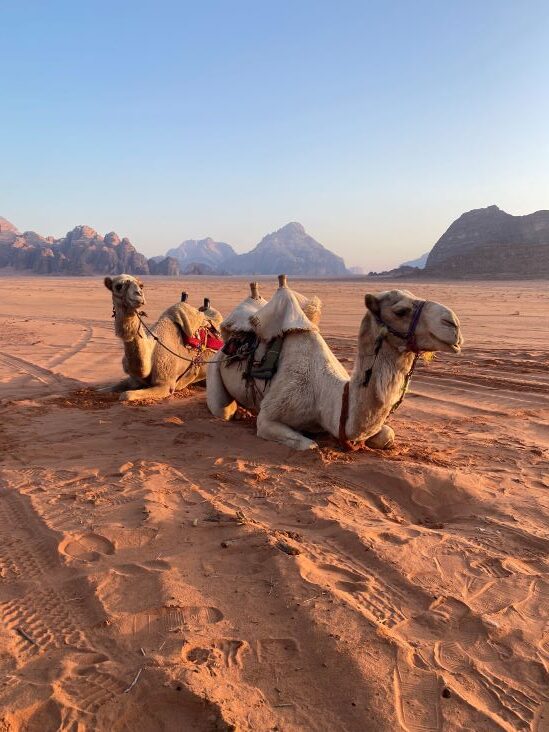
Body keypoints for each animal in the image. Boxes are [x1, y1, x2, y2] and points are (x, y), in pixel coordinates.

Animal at [206, 276, 462, 452]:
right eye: (400, 310)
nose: (454, 325)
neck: (327, 397)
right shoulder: (269, 417)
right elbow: (309, 445)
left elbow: (388, 435)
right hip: (214, 367)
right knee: (223, 411)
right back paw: (238, 413)